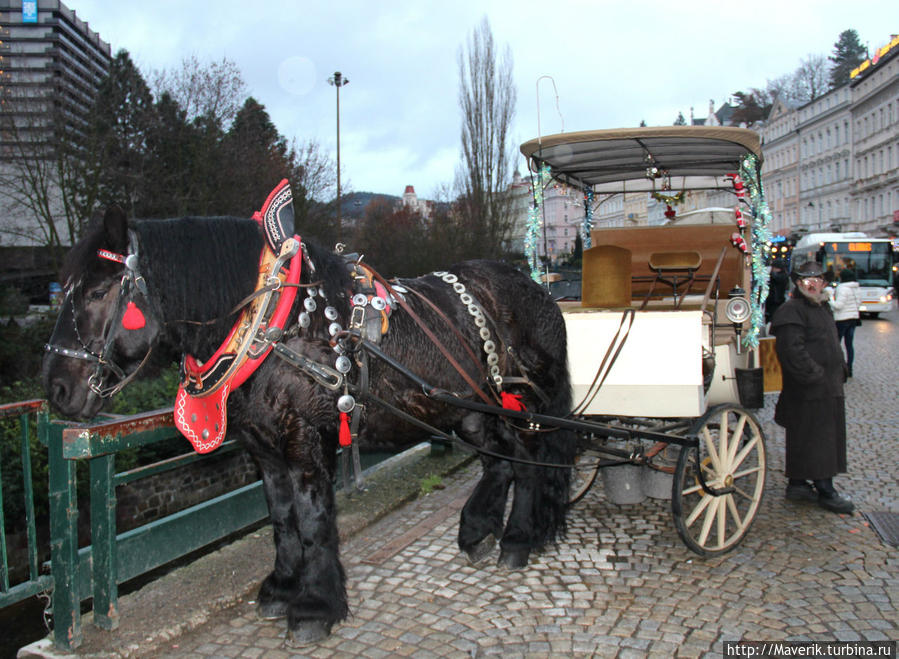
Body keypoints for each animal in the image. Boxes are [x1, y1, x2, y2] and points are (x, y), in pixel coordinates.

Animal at [42, 209, 576, 648]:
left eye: (97, 292)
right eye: (62, 291)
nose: (56, 390)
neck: (277, 327)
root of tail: (534, 285)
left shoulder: (304, 440)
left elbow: (315, 520)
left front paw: (315, 606)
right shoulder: (262, 447)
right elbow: (282, 519)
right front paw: (282, 586)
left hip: (520, 402)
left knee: (527, 457)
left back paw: (518, 538)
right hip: (467, 409)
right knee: (498, 460)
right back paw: (478, 528)